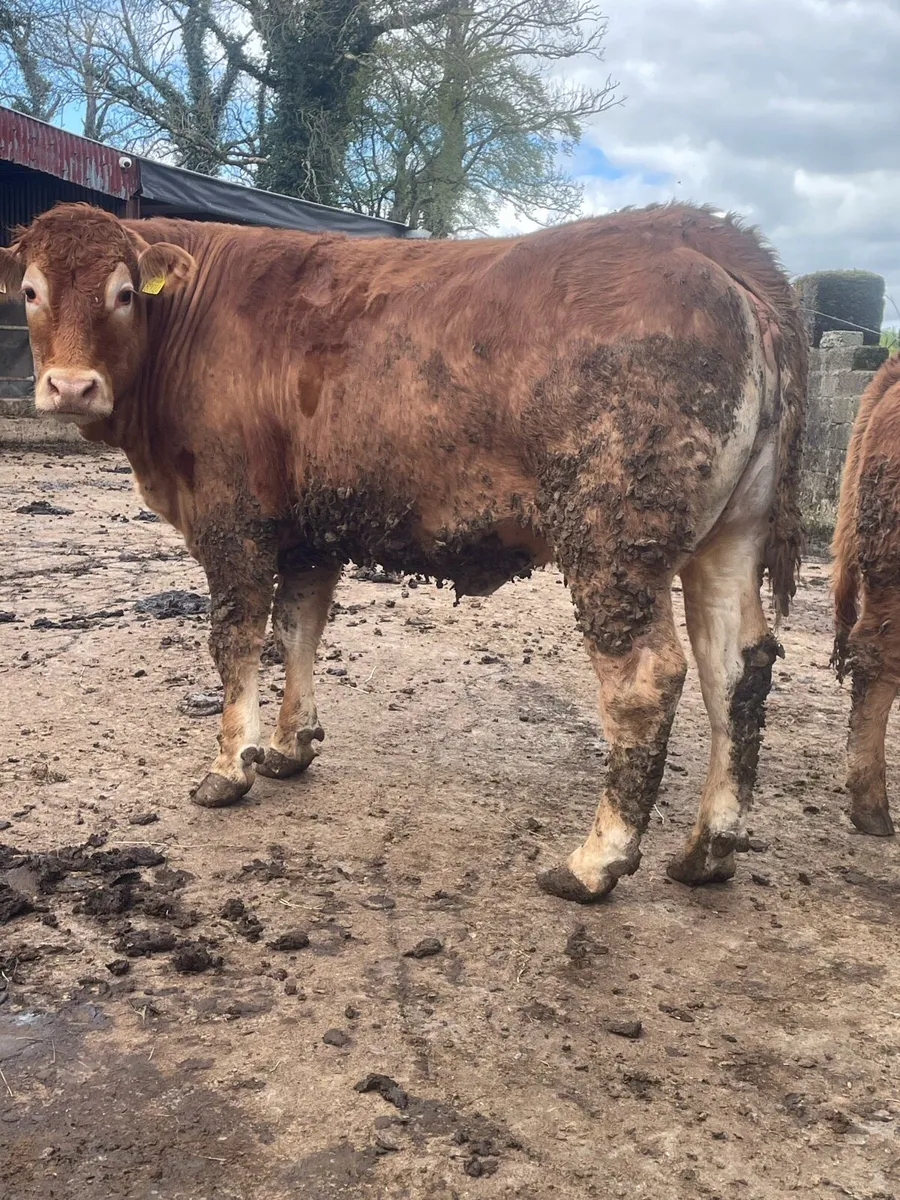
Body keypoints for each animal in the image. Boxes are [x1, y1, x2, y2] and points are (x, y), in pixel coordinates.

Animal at [0, 201, 807, 903]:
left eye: (124, 292)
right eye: (32, 291)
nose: (70, 387)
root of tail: (696, 237)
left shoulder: (232, 519)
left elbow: (235, 641)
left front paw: (230, 767)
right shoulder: (309, 529)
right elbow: (299, 629)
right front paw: (291, 747)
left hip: (613, 536)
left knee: (646, 680)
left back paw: (594, 862)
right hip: (731, 534)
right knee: (738, 668)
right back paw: (709, 849)